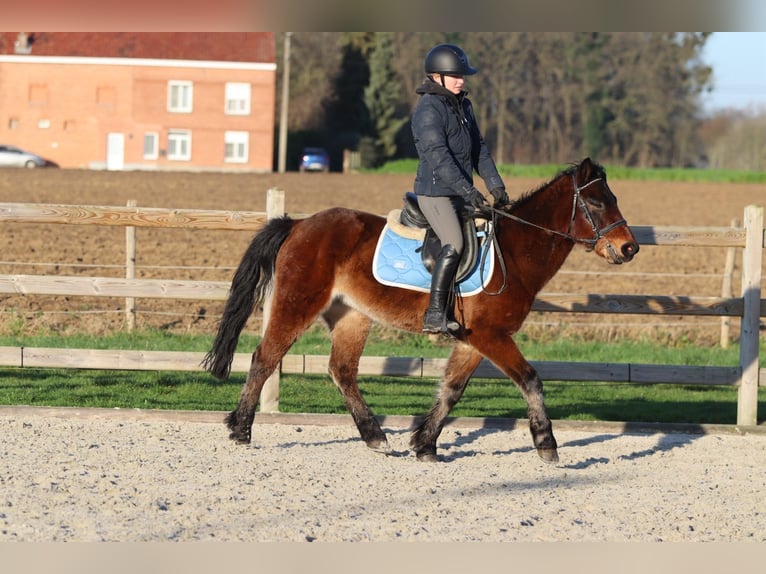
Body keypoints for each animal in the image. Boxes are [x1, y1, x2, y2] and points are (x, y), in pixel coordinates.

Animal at [202, 157, 639, 463]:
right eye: (597, 202)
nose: (629, 247)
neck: (514, 253)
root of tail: (298, 224)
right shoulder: (491, 336)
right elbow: (530, 380)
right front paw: (547, 444)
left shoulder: (473, 339)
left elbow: (451, 390)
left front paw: (424, 444)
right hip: (298, 304)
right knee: (265, 357)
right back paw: (240, 431)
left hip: (352, 315)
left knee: (342, 371)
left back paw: (376, 436)